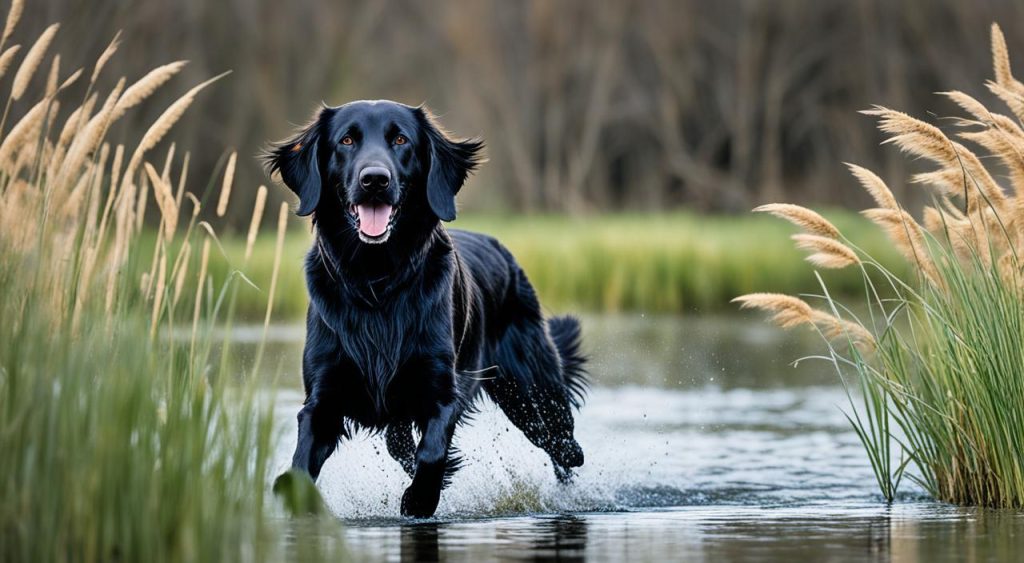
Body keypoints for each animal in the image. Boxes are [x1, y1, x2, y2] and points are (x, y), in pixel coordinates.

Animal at [264, 100, 589, 515]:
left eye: (401, 140)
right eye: (346, 141)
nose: (375, 179)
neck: (376, 281)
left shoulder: (443, 391)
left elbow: (432, 452)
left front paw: (419, 498)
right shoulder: (324, 397)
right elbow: (300, 463)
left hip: (532, 391)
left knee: (564, 448)